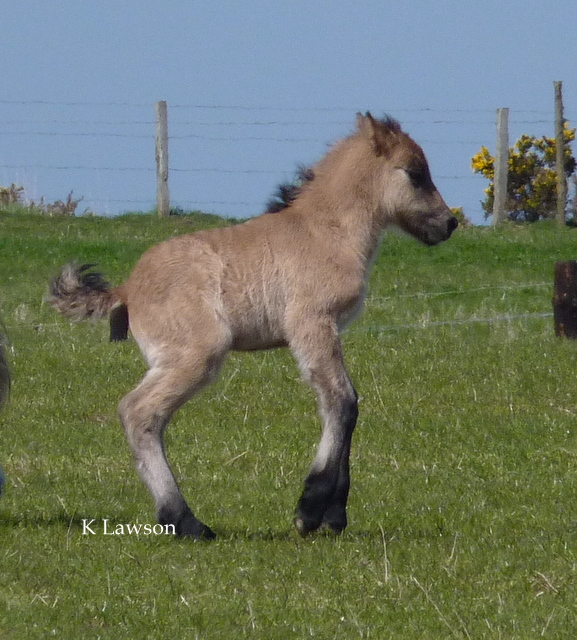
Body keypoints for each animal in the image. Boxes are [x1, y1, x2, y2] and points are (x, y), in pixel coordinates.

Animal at [48, 113, 458, 540]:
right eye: (415, 173)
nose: (450, 223)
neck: (327, 232)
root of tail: (127, 288)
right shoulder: (310, 323)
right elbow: (341, 401)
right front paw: (310, 511)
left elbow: (347, 402)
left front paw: (334, 515)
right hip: (196, 353)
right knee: (137, 411)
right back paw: (188, 523)